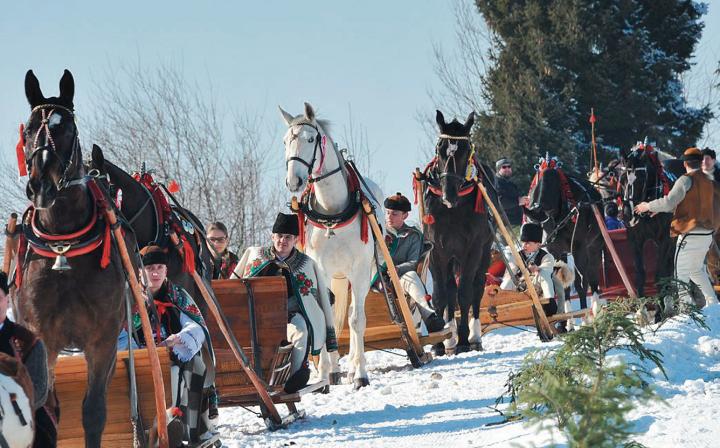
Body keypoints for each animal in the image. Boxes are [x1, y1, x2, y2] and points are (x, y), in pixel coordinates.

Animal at [14, 69, 131, 447]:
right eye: (29, 129)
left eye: (66, 129)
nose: (40, 187)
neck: (64, 249)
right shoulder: (43, 338)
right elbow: (45, 408)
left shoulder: (104, 339)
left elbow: (93, 411)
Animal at [279, 102, 383, 389]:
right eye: (285, 141)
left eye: (310, 139)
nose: (293, 181)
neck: (331, 215)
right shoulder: (319, 270)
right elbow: (324, 316)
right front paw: (326, 374)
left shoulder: (359, 270)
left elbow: (356, 320)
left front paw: (360, 374)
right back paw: (336, 369)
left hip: (362, 274)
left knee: (352, 313)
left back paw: (353, 365)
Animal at [421, 110, 494, 354]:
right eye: (439, 149)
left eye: (465, 151)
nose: (448, 195)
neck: (453, 209)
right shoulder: (437, 250)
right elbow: (441, 295)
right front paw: (439, 342)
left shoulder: (472, 249)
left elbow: (466, 293)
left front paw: (463, 339)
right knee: (450, 290)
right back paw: (449, 334)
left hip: (484, 251)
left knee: (477, 287)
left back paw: (473, 336)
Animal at [524, 155, 605, 317]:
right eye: (530, 224)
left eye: (543, 226)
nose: (543, 242)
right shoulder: (556, 250)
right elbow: (562, 282)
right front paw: (567, 318)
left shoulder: (579, 247)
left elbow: (581, 283)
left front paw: (585, 314)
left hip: (593, 246)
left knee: (592, 277)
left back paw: (595, 308)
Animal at [617, 143, 675, 297]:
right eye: (622, 179)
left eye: (641, 179)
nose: (628, 214)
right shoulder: (635, 239)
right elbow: (640, 274)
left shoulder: (665, 239)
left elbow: (660, 275)